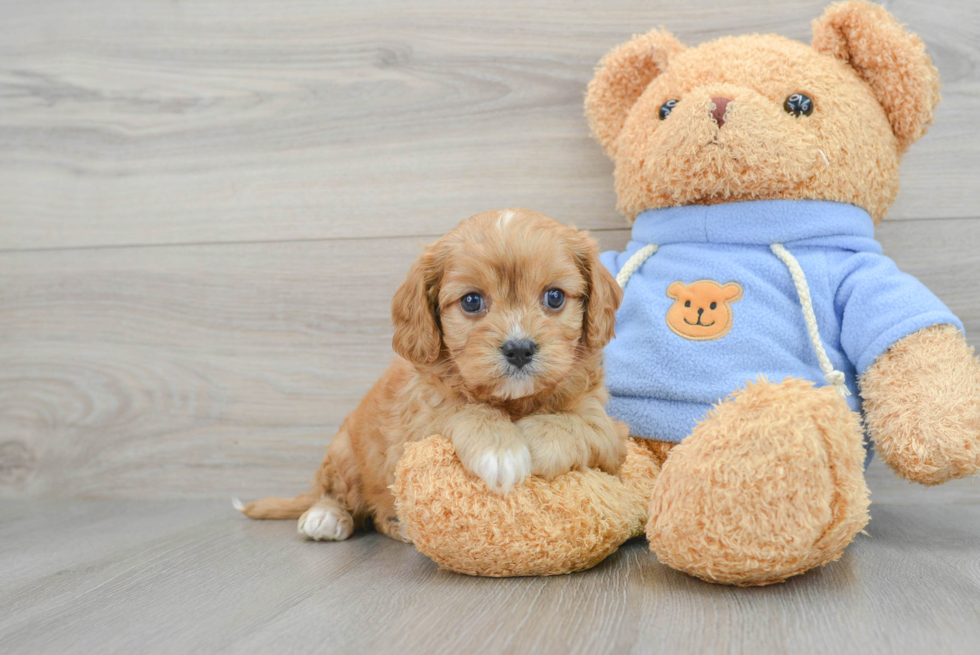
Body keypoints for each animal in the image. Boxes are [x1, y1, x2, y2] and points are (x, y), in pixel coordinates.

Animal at [237, 210, 624, 544]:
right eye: (471, 302)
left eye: (554, 297)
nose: (519, 349)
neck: (513, 401)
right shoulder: (420, 423)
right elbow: (464, 410)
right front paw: (501, 448)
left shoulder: (609, 432)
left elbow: (582, 425)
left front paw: (535, 435)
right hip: (344, 454)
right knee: (337, 494)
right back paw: (327, 516)